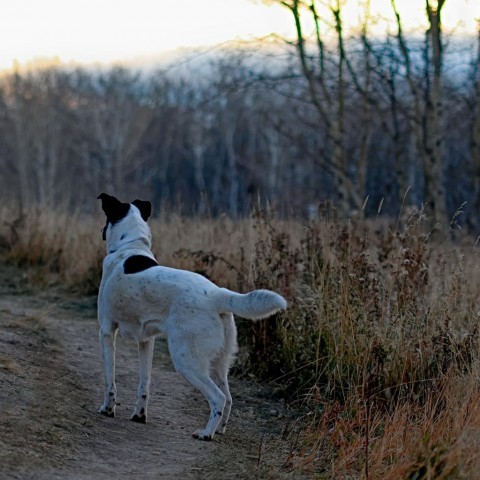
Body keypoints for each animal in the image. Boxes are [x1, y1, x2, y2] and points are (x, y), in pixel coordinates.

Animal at [95, 193, 286, 440]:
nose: (100, 231)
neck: (130, 247)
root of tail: (217, 294)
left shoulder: (107, 331)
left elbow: (110, 380)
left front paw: (108, 409)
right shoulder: (146, 341)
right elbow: (144, 384)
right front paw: (139, 416)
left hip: (186, 360)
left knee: (218, 398)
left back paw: (206, 433)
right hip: (218, 363)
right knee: (229, 397)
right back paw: (219, 429)